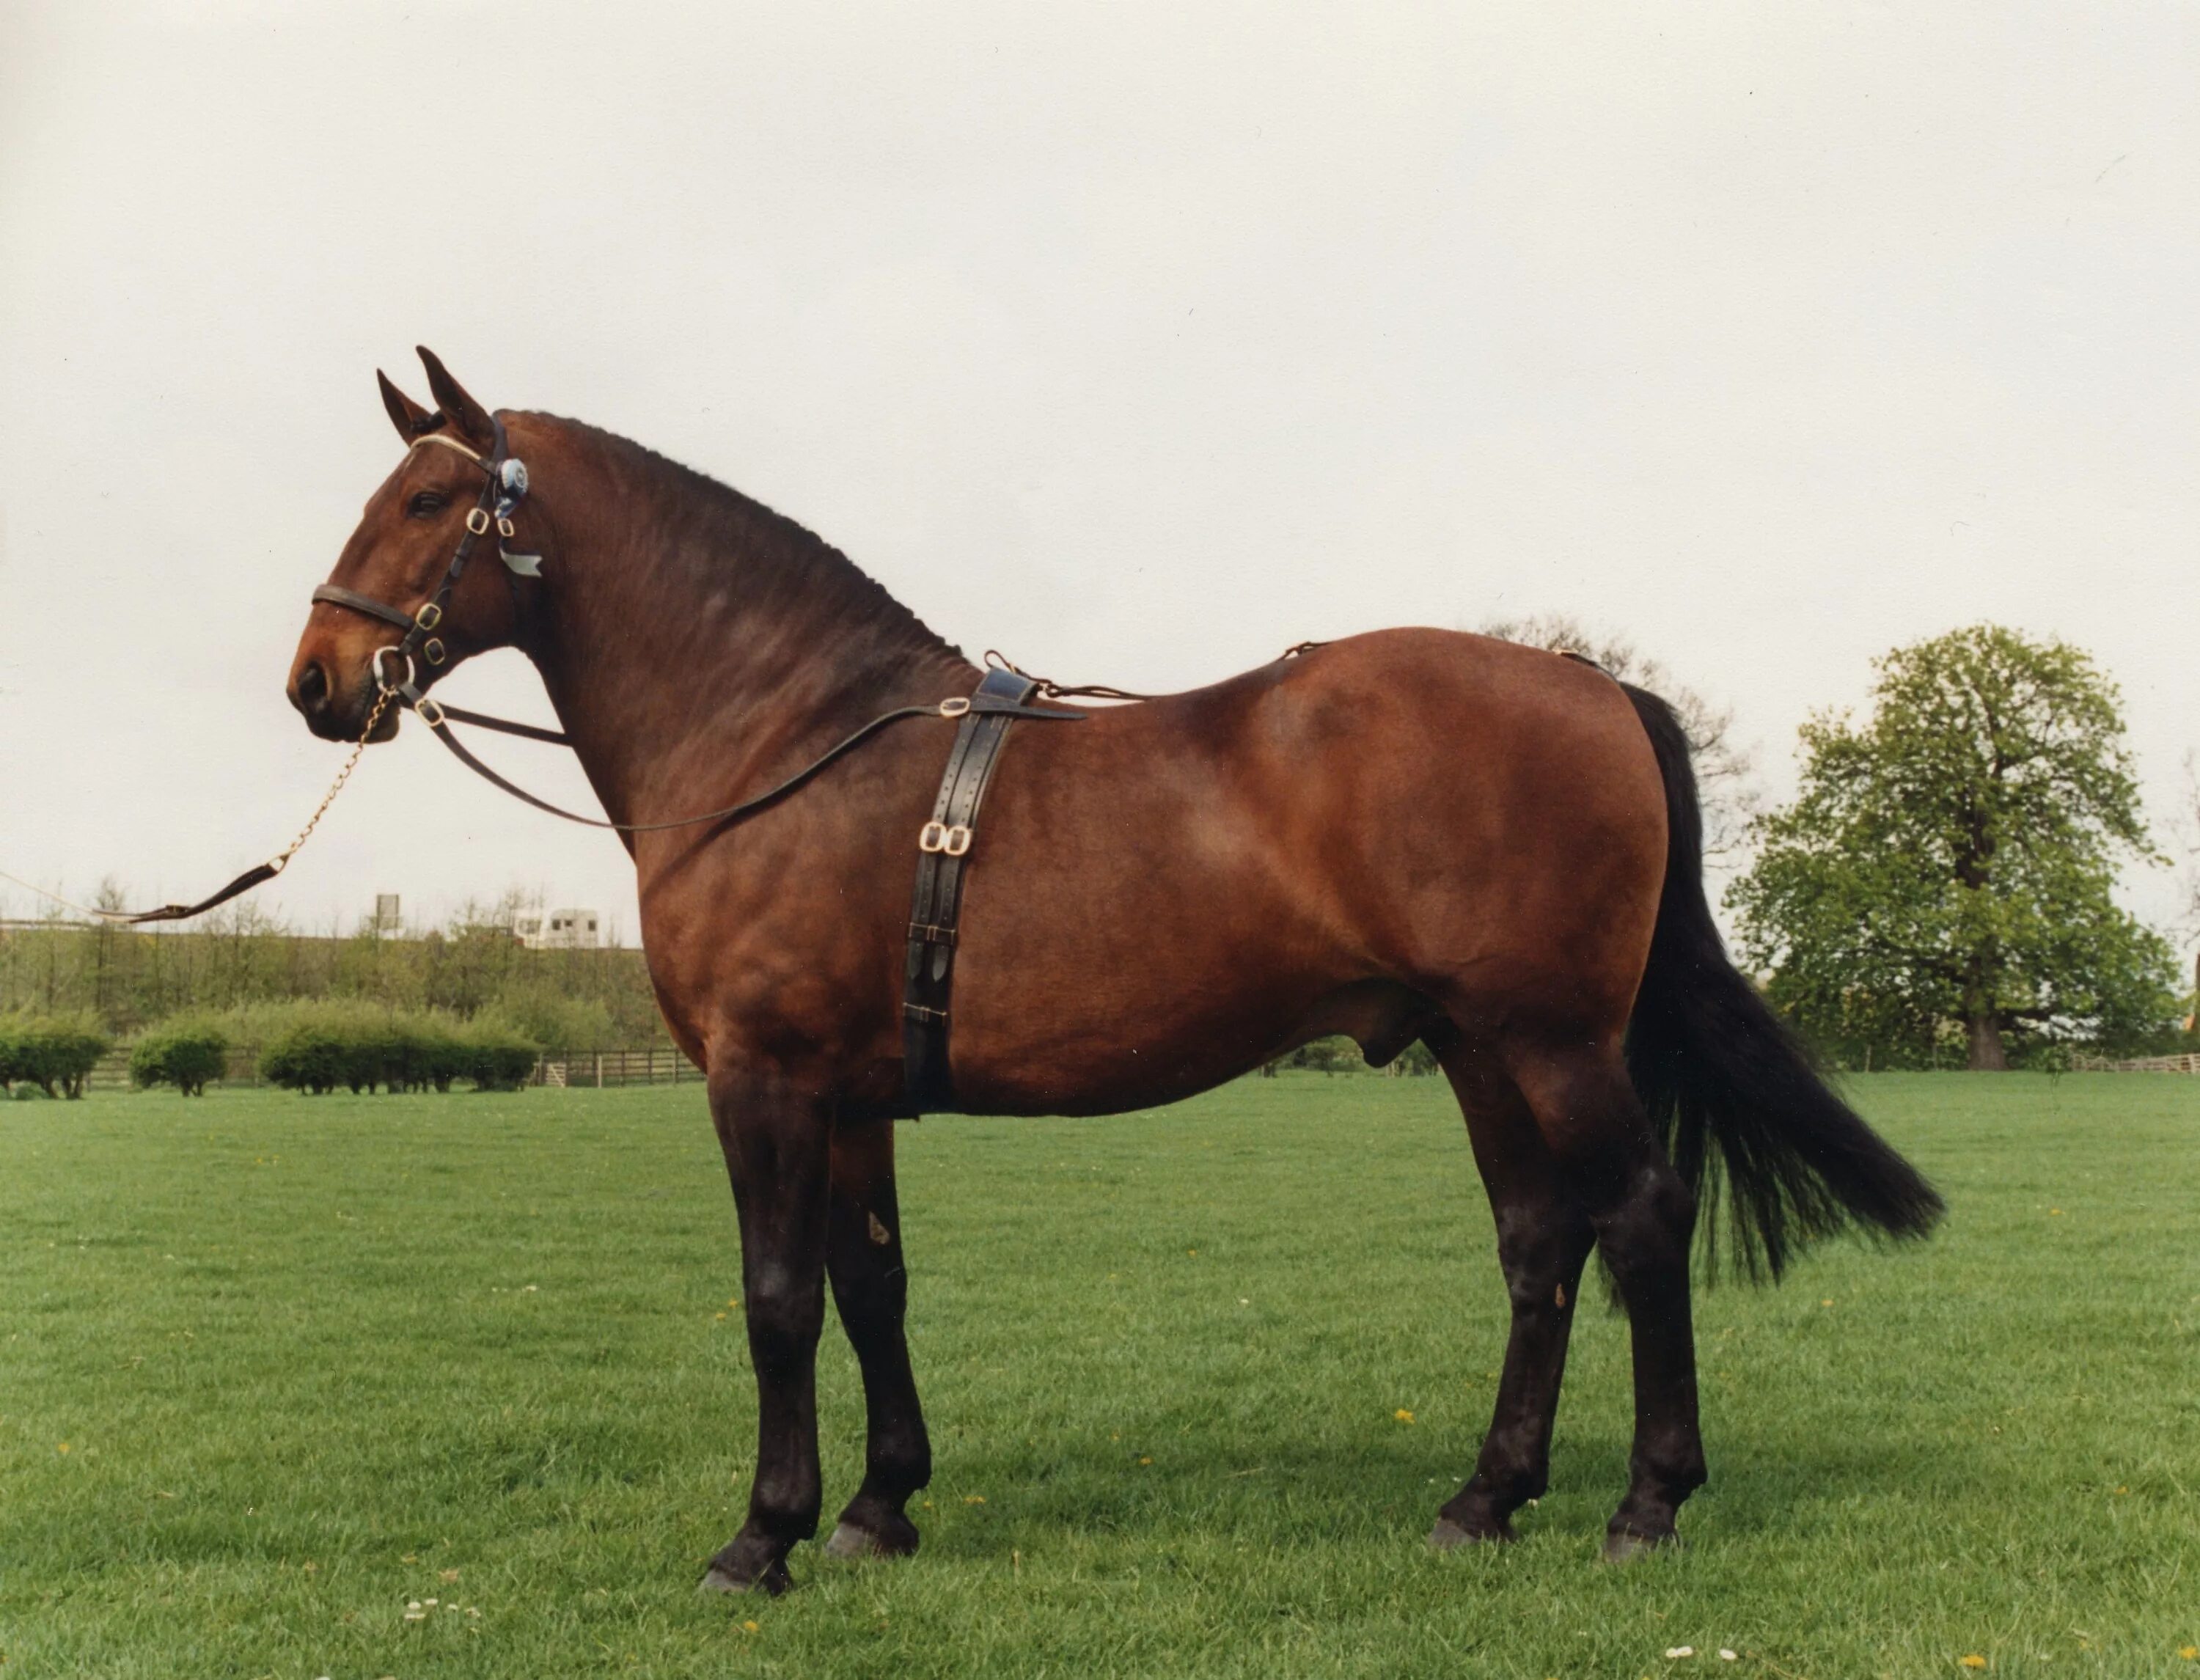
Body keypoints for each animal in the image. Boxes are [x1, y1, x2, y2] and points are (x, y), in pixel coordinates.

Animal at [279, 351, 1945, 1592]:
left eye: (429, 497)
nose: (316, 679)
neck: (786, 740)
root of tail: (1593, 683)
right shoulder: (852, 1094)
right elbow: (871, 1280)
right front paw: (880, 1507)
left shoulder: (764, 1079)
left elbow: (777, 1297)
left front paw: (762, 1536)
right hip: (1479, 1046)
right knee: (1543, 1244)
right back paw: (1486, 1496)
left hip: (1556, 1039)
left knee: (1642, 1220)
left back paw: (1646, 1503)